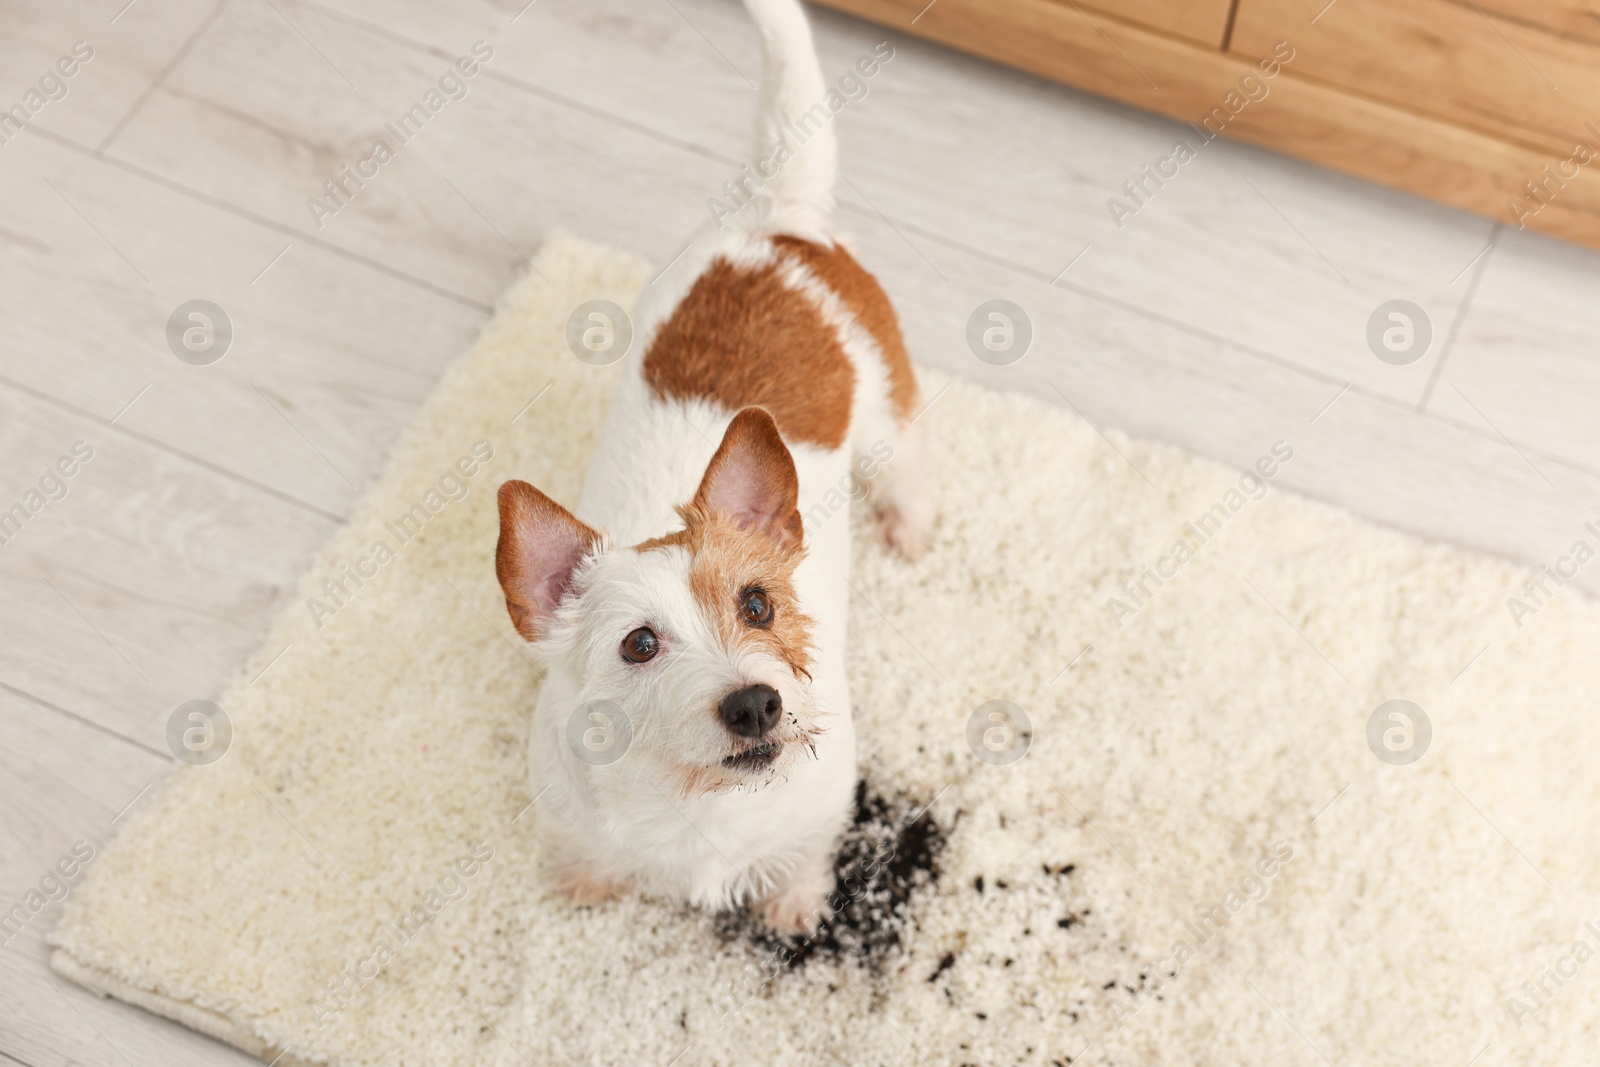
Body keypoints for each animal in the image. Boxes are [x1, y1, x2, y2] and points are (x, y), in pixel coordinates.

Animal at [492, 0, 934, 934]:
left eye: (758, 603)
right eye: (639, 644)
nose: (755, 702)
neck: (699, 802)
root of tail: (777, 216)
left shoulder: (823, 802)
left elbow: (804, 853)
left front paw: (794, 905)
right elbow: (585, 854)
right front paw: (583, 885)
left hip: (891, 406)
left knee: (910, 461)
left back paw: (910, 523)